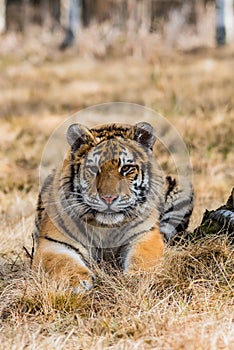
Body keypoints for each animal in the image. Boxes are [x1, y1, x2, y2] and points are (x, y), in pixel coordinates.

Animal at [33, 121, 194, 292]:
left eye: (126, 168)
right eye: (94, 169)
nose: (108, 198)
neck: (106, 228)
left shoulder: (144, 235)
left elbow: (143, 258)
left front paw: (137, 279)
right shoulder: (53, 242)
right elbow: (62, 262)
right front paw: (76, 282)